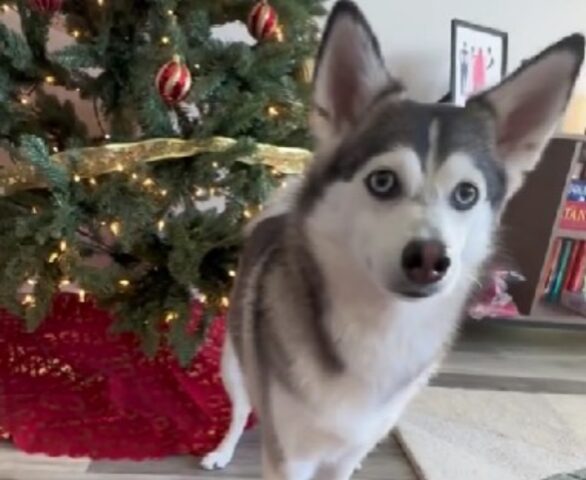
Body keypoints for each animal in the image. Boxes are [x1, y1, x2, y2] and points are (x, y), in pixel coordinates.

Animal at [200, 1, 580, 478]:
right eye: (382, 181)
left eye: (466, 194)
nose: (430, 258)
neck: (380, 329)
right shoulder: (290, 457)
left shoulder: (350, 450)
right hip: (233, 364)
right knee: (240, 408)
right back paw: (223, 450)